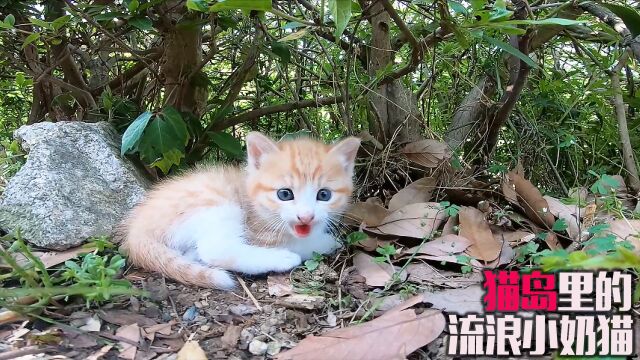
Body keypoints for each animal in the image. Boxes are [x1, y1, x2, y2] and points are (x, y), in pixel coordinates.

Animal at [120, 132, 360, 290]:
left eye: (324, 195)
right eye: (284, 194)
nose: (306, 216)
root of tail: (137, 228)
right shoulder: (259, 233)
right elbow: (302, 244)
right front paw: (327, 242)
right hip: (217, 203)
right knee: (215, 249)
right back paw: (283, 259)